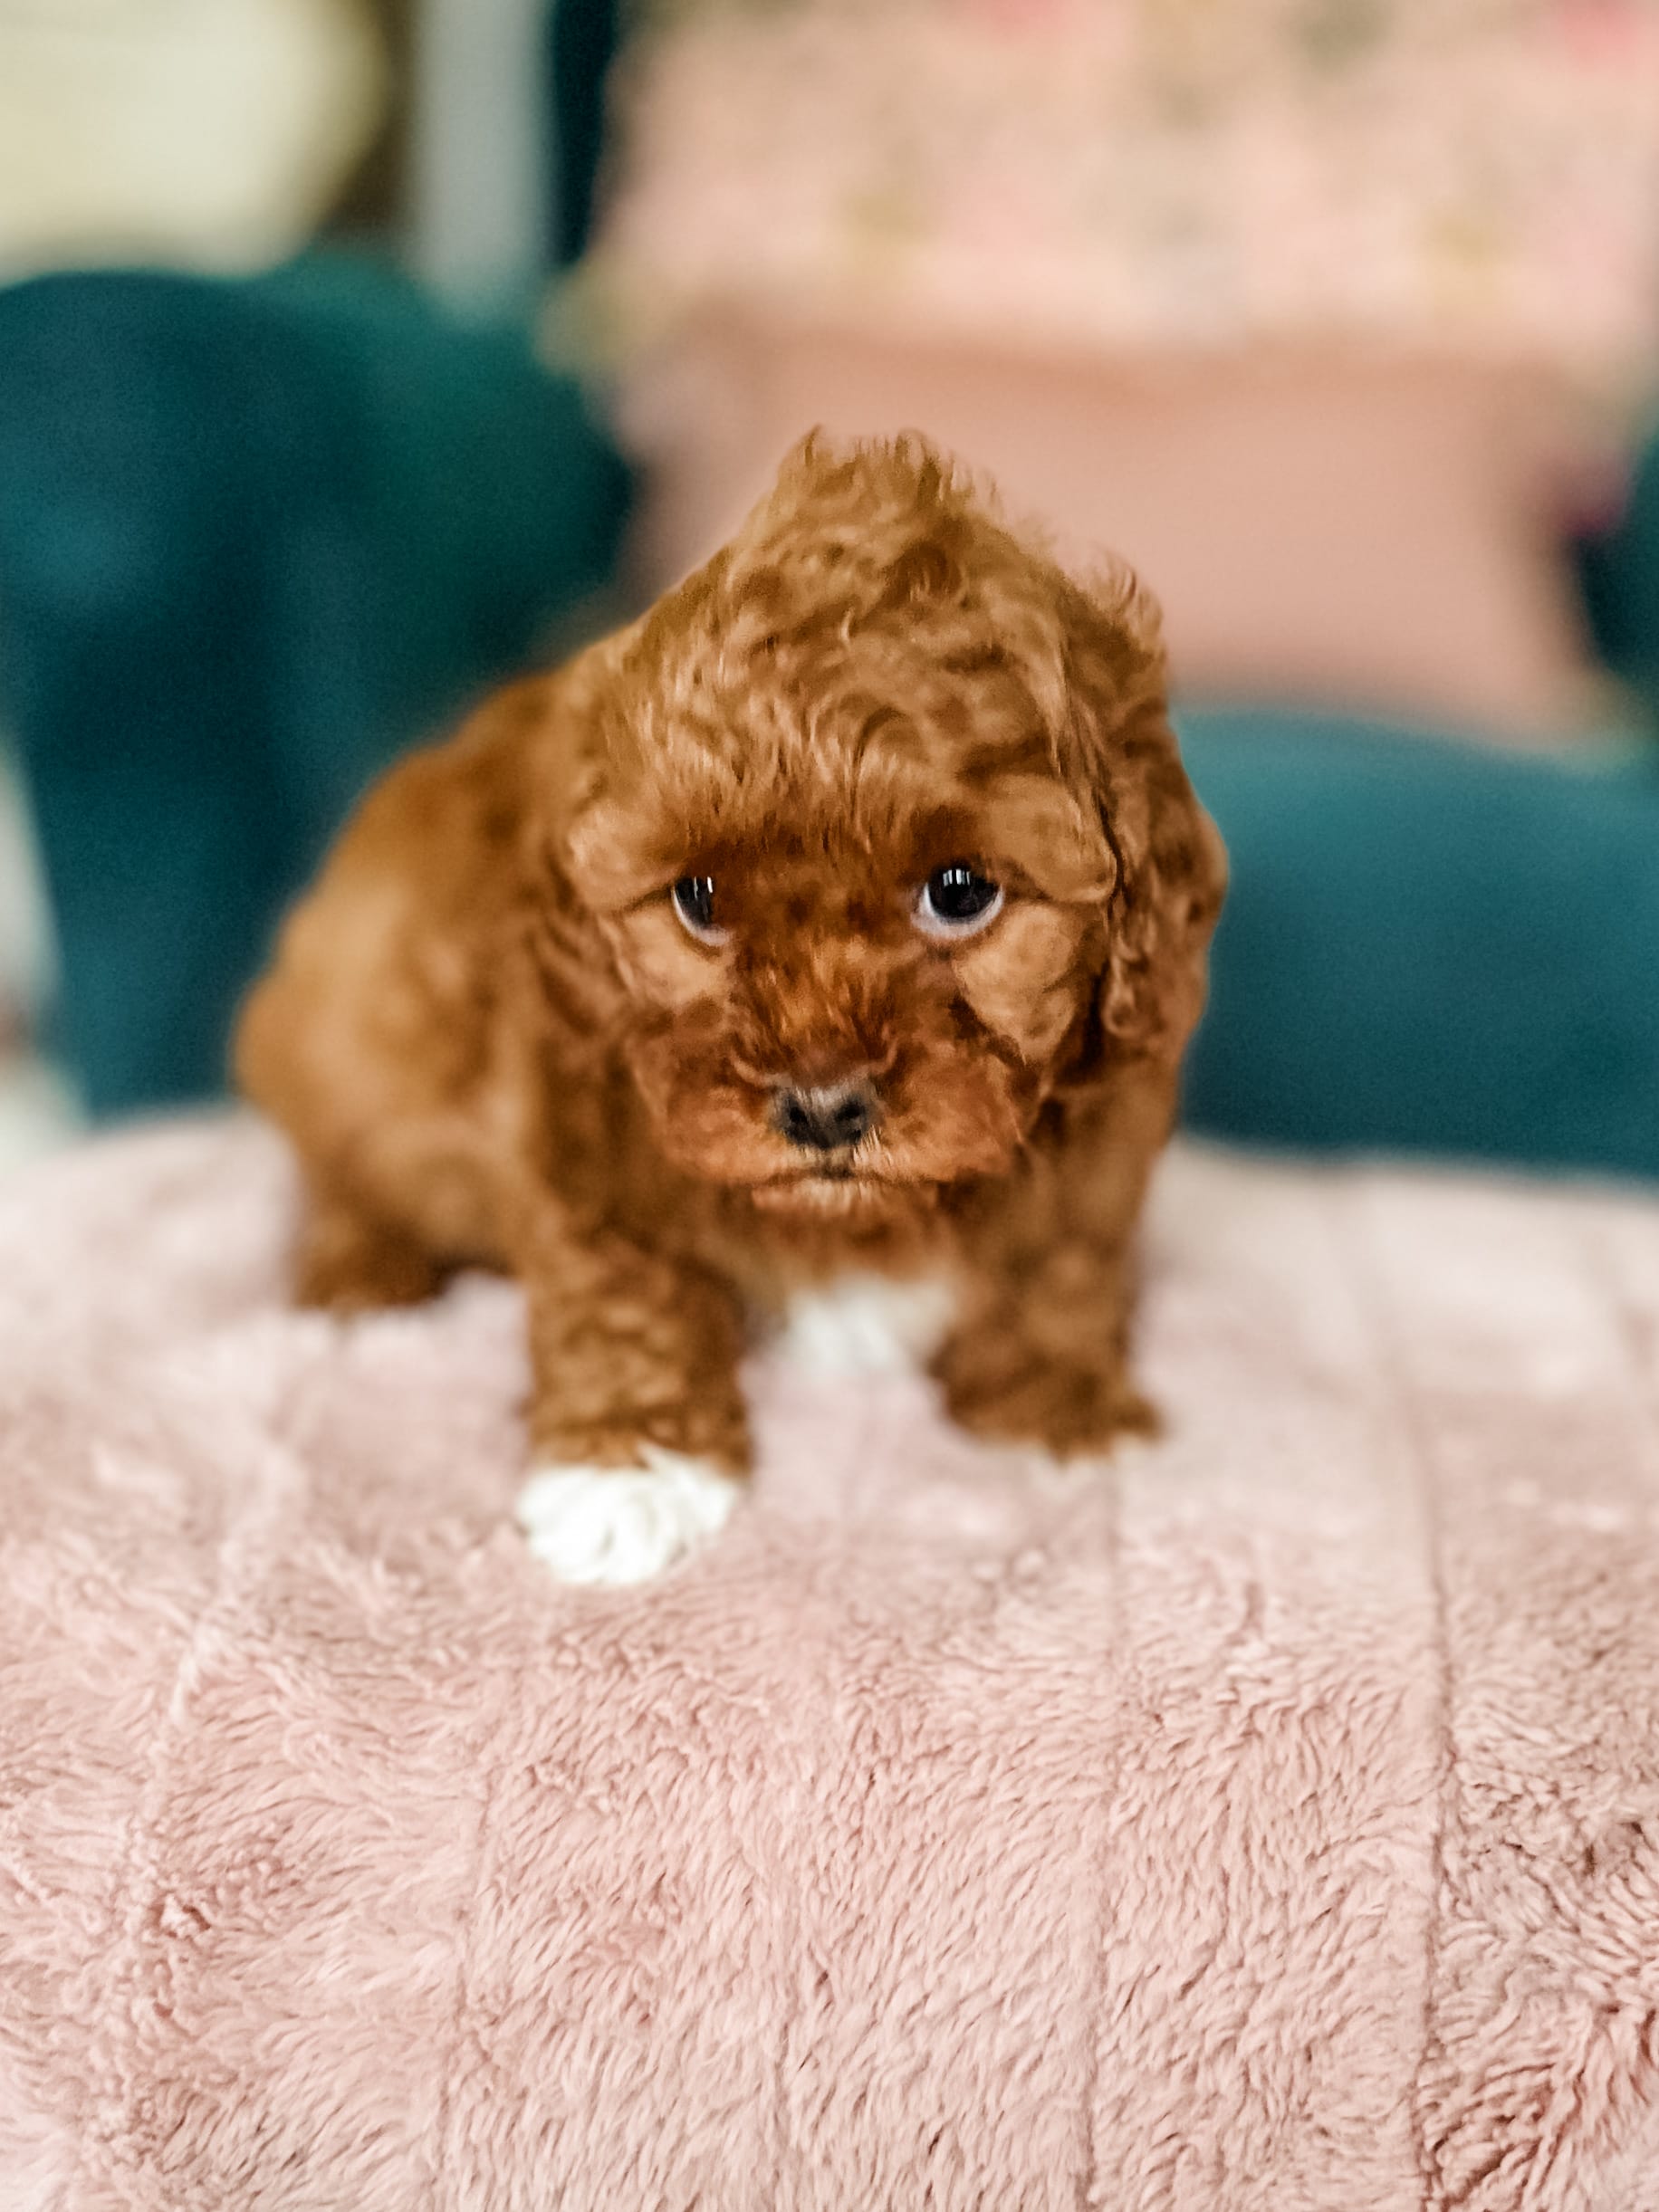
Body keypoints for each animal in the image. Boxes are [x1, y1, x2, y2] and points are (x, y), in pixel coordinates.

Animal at [243, 436, 1238, 1575]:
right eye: (699, 899)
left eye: (959, 891)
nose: (821, 1109)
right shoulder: (575, 1101)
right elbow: (621, 1280)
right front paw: (627, 1468)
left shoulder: (1107, 1113)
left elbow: (1066, 1257)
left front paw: (1053, 1402)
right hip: (353, 1034)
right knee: (343, 1165)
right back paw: (358, 1274)